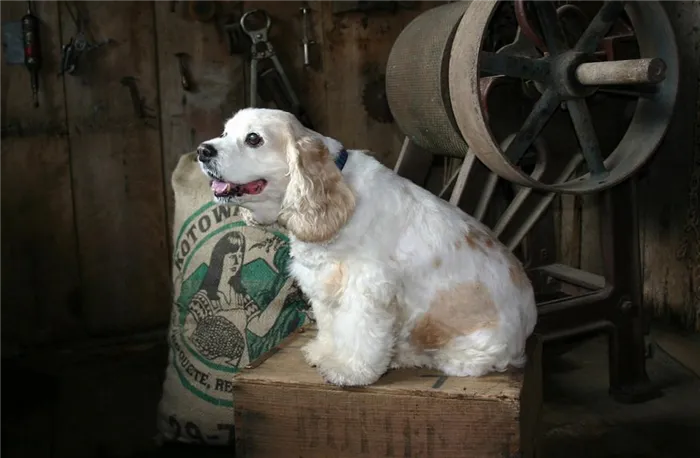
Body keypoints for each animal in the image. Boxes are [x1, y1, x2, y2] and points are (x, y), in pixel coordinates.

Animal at [196, 107, 536, 386]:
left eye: (254, 138)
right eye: (225, 133)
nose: (202, 150)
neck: (337, 187)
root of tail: (530, 323)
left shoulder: (367, 287)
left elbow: (360, 333)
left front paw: (350, 371)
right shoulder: (324, 283)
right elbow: (332, 327)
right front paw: (324, 352)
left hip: (478, 340)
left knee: (479, 361)